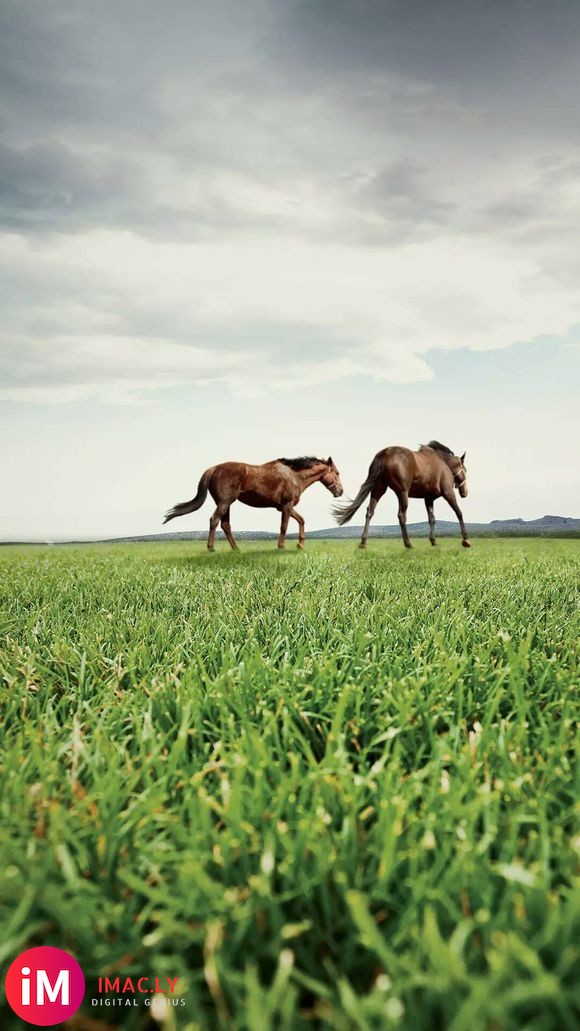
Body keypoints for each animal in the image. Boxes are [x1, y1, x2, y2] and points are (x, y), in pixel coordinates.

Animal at [163, 453, 342, 548]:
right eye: (337, 473)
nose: (340, 491)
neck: (294, 476)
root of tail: (213, 469)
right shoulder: (287, 506)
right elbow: (284, 527)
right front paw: (281, 547)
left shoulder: (285, 507)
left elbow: (301, 520)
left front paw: (300, 545)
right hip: (224, 503)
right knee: (214, 521)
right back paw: (211, 548)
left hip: (226, 504)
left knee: (225, 525)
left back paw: (236, 550)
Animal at [335, 445, 471, 556]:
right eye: (465, 470)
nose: (465, 492)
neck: (443, 463)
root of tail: (384, 454)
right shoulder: (448, 493)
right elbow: (459, 512)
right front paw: (465, 539)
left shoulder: (428, 498)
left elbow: (432, 519)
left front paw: (433, 541)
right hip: (402, 493)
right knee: (401, 515)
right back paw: (408, 543)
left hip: (378, 489)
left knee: (370, 512)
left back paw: (363, 542)